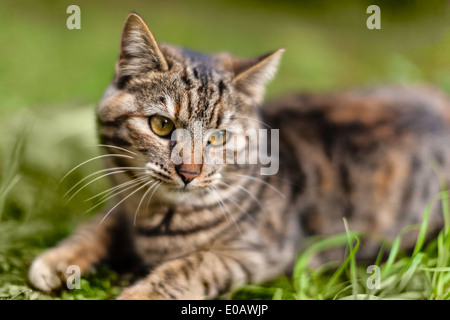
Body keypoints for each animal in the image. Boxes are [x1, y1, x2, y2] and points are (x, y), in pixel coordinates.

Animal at [28, 11, 446, 298]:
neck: (156, 218)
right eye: (161, 125)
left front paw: (138, 293)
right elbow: (97, 226)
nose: (189, 172)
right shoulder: (123, 207)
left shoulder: (256, 253)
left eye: (219, 137)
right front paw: (57, 259)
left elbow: (189, 267)